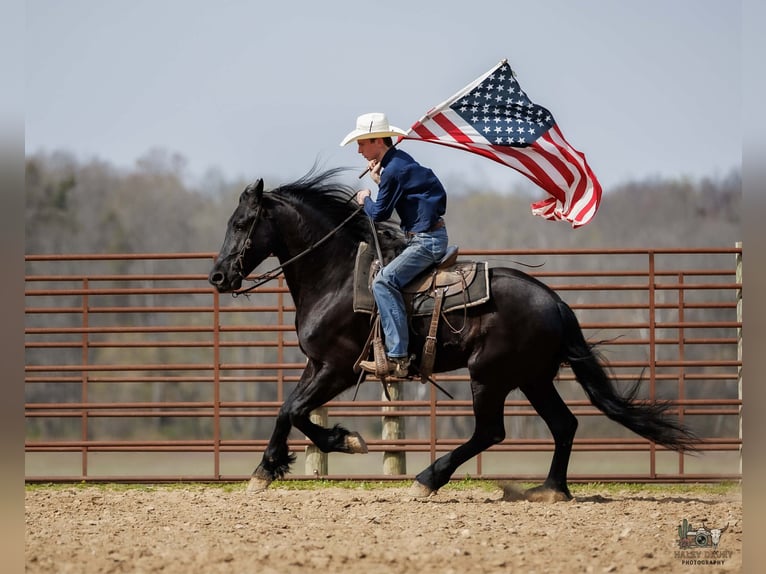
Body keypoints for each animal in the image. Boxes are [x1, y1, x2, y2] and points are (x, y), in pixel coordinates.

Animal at [208, 169, 697, 499]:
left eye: (241, 223)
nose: (217, 276)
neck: (337, 276)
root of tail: (555, 302)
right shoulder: (317, 365)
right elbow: (287, 410)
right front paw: (272, 466)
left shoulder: (340, 368)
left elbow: (295, 411)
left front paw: (335, 443)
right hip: (532, 378)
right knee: (564, 424)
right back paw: (551, 489)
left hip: (490, 376)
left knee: (492, 432)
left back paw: (428, 479)